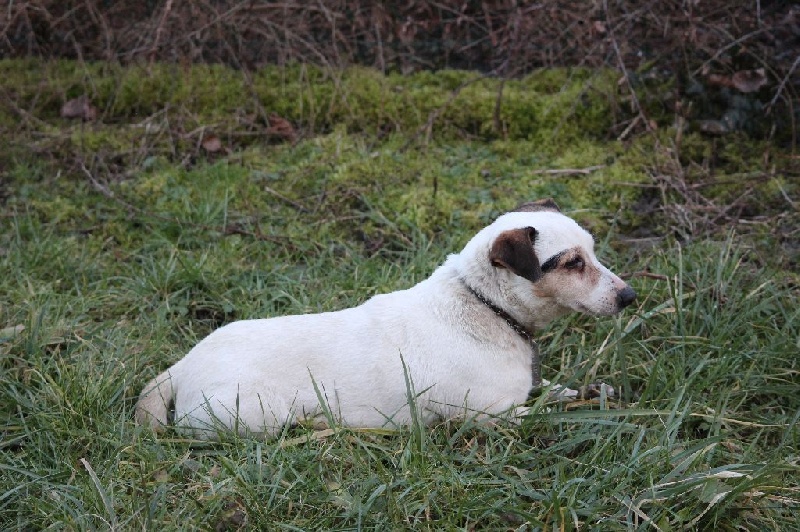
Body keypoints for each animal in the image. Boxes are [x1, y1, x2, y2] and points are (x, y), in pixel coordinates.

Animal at [135, 199, 636, 438]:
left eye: (592, 251)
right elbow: (556, 412)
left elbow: (560, 391)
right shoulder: (496, 416)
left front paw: (596, 392)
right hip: (255, 415)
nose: (630, 296)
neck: (483, 307)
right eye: (572, 263)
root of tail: (181, 367)